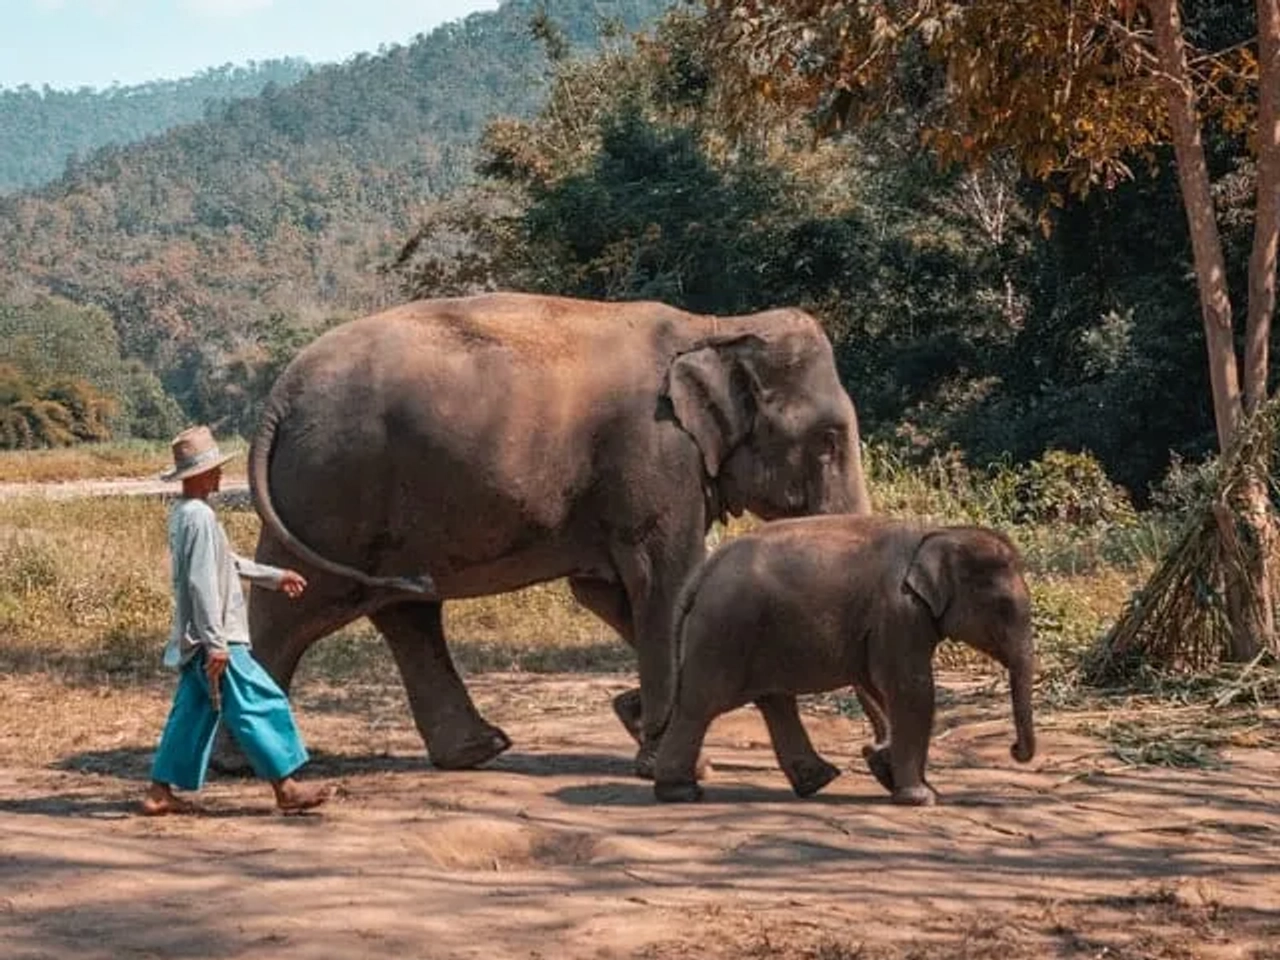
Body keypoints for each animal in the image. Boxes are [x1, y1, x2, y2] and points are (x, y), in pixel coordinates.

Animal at [243, 292, 871, 776]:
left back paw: (477, 751)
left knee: (405, 611)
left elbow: (609, 593)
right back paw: (248, 764)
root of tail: (280, 394)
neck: (714, 327)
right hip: (335, 490)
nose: (871, 758)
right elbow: (665, 581)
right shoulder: (656, 457)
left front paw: (639, 719)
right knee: (295, 606)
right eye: (828, 441)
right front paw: (674, 759)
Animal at [652, 515, 1037, 805]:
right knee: (701, 704)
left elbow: (881, 687)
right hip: (725, 631)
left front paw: (887, 767)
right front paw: (921, 797)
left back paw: (817, 781)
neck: (937, 533)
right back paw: (679, 792)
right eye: (1004, 608)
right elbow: (911, 690)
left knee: (774, 701)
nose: (1014, 749)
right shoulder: (899, 613)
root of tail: (704, 571)